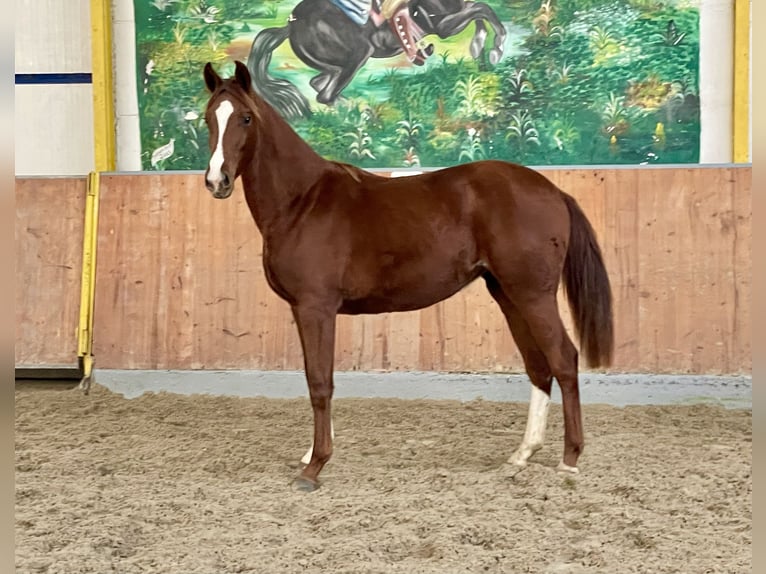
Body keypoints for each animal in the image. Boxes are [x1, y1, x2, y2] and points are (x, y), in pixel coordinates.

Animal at [201, 63, 616, 496]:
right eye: (208, 118)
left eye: (245, 118)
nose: (217, 180)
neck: (302, 201)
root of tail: (553, 191)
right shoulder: (305, 310)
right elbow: (316, 377)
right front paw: (312, 453)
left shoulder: (316, 307)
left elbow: (319, 382)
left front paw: (314, 467)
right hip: (509, 294)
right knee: (539, 366)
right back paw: (521, 455)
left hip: (533, 295)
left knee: (564, 360)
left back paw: (569, 460)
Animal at [248, 0, 510, 119]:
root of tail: (290, 26)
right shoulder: (443, 25)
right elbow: (483, 10)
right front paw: (495, 49)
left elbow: (479, 13)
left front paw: (481, 53)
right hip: (357, 55)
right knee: (325, 94)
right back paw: (361, 115)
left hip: (336, 64)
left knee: (319, 85)